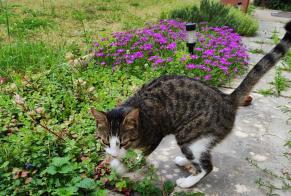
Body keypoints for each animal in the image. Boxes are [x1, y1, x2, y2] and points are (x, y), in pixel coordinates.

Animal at [91, 20, 291, 188]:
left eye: (124, 142)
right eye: (104, 141)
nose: (113, 153)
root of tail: (226, 98)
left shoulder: (155, 136)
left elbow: (139, 156)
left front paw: (120, 165)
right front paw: (112, 160)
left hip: (189, 133)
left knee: (207, 166)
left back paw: (187, 182)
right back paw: (184, 161)